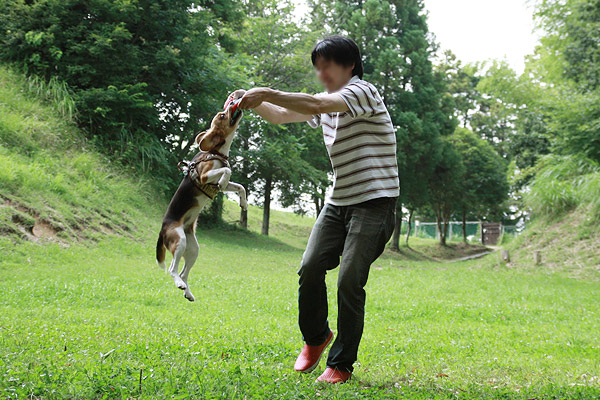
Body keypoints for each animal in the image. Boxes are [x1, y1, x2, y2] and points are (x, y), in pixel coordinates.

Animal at [158, 104, 247, 302]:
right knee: (173, 269)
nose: (233, 104)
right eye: (222, 115)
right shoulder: (206, 176)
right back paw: (179, 284)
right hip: (179, 240)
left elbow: (240, 186)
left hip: (193, 249)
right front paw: (225, 178)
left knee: (183, 273)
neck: (215, 152)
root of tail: (162, 230)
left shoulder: (219, 185)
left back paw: (188, 293)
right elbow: (226, 171)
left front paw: (244, 204)